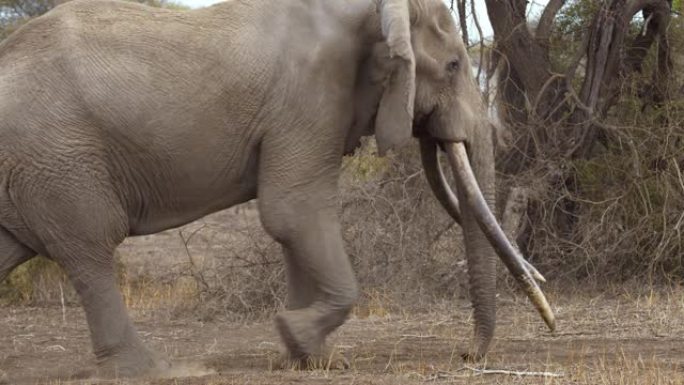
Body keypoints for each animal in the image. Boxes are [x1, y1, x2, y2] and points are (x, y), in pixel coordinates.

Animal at [0, 0, 556, 378]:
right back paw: (151, 370)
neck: (375, 9)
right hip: (60, 158)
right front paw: (296, 334)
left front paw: (310, 355)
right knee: (91, 247)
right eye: (455, 66)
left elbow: (295, 224)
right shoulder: (309, 99)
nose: (466, 354)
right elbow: (294, 211)